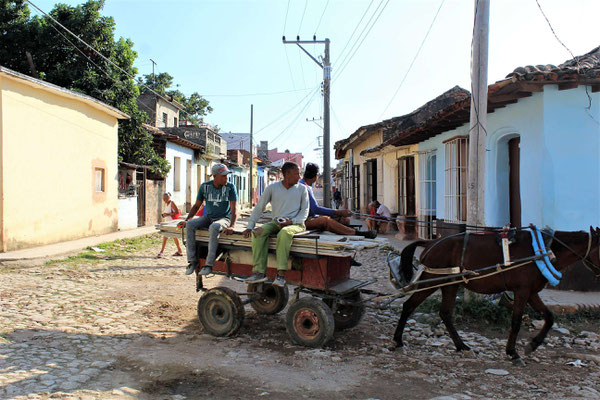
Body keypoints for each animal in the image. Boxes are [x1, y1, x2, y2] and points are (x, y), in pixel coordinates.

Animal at [390, 227, 600, 364]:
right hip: (432, 280)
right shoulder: (522, 291)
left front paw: (533, 344)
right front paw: (513, 353)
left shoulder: (531, 292)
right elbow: (516, 321)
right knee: (409, 305)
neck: (542, 250)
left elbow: (549, 317)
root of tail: (431, 242)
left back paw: (461, 346)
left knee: (445, 313)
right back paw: (398, 340)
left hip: (450, 285)